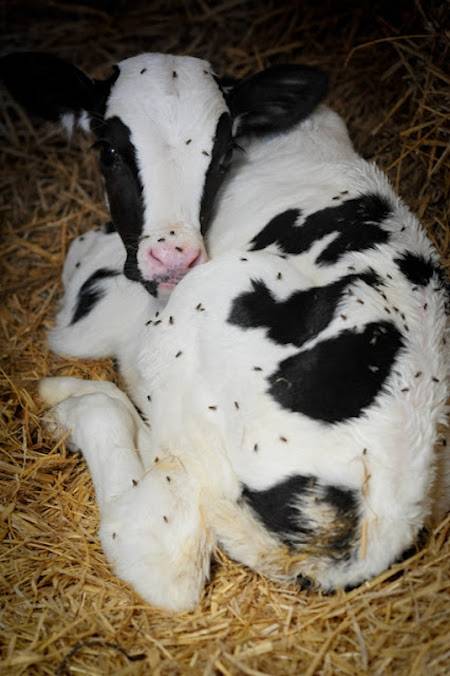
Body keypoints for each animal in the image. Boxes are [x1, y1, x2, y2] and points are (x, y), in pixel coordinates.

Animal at [2, 52, 448, 612]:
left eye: (221, 155)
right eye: (110, 151)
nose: (171, 256)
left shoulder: (101, 309)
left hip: (199, 314)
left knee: (156, 543)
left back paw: (64, 405)